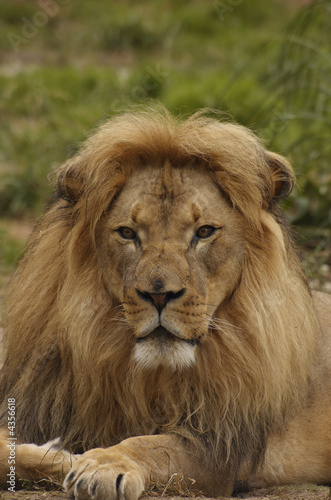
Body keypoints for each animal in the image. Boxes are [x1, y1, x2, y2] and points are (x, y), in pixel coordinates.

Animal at [0, 107, 331, 498]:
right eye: (127, 233)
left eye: (204, 232)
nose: (159, 294)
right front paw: (55, 456)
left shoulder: (219, 445)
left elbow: (154, 445)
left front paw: (101, 464)